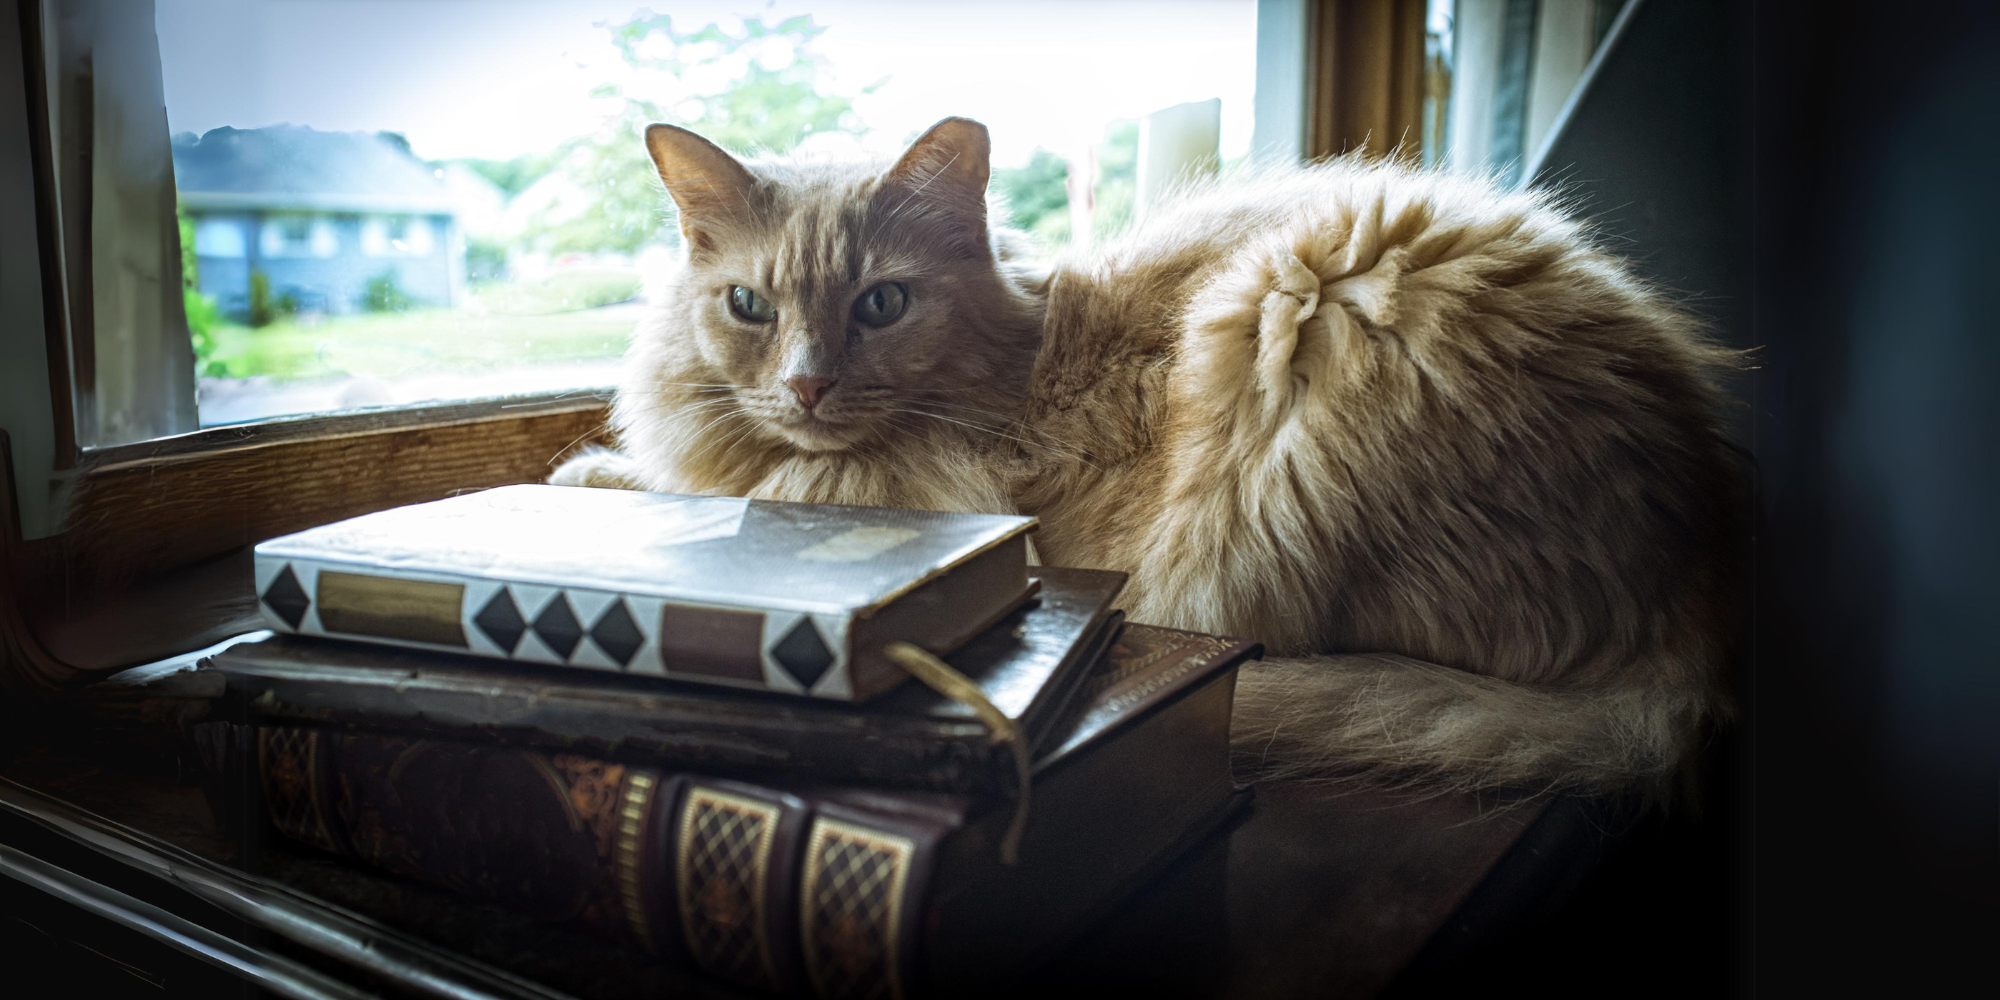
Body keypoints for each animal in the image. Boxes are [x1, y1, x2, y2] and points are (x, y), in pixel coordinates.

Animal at [556, 119, 1744, 804]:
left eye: (882, 304)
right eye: (749, 307)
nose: (805, 386)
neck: (1019, 361)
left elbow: (709, 489)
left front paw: (598, 481)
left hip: (1306, 314)